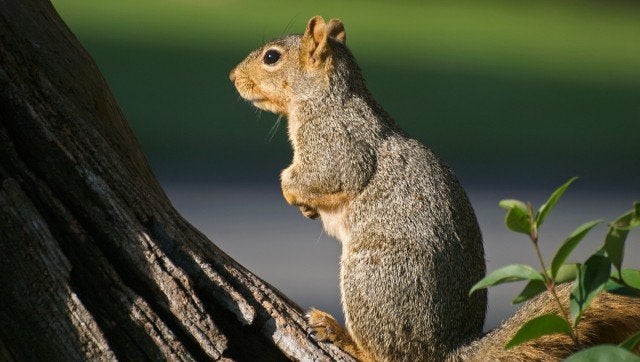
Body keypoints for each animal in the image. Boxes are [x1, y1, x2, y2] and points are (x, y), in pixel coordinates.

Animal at [230, 15, 640, 360]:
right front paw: (307, 207)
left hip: (374, 277)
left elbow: (327, 175)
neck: (324, 97)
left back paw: (341, 334)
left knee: (388, 354)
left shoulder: (337, 142)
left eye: (271, 57)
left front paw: (291, 190)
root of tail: (448, 350)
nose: (233, 77)